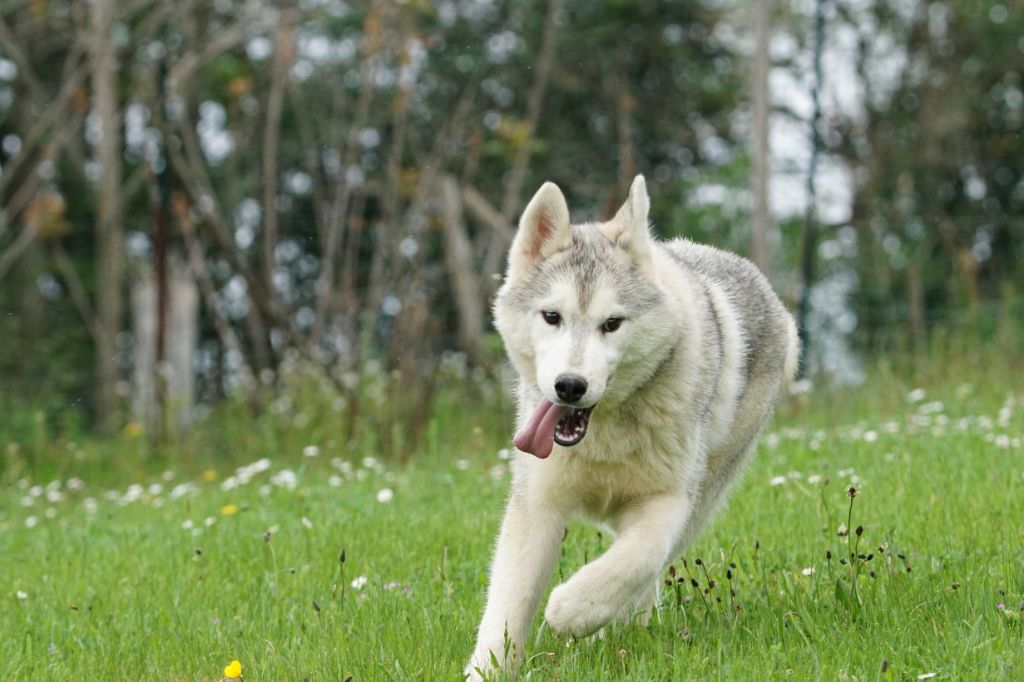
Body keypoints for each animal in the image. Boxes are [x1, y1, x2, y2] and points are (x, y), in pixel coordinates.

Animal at [465, 175, 799, 679]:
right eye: (552, 317)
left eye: (612, 323)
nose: (570, 386)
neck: (606, 431)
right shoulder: (537, 505)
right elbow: (507, 606)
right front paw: (488, 668)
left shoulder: (669, 501)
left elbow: (636, 560)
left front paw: (572, 610)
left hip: (705, 495)